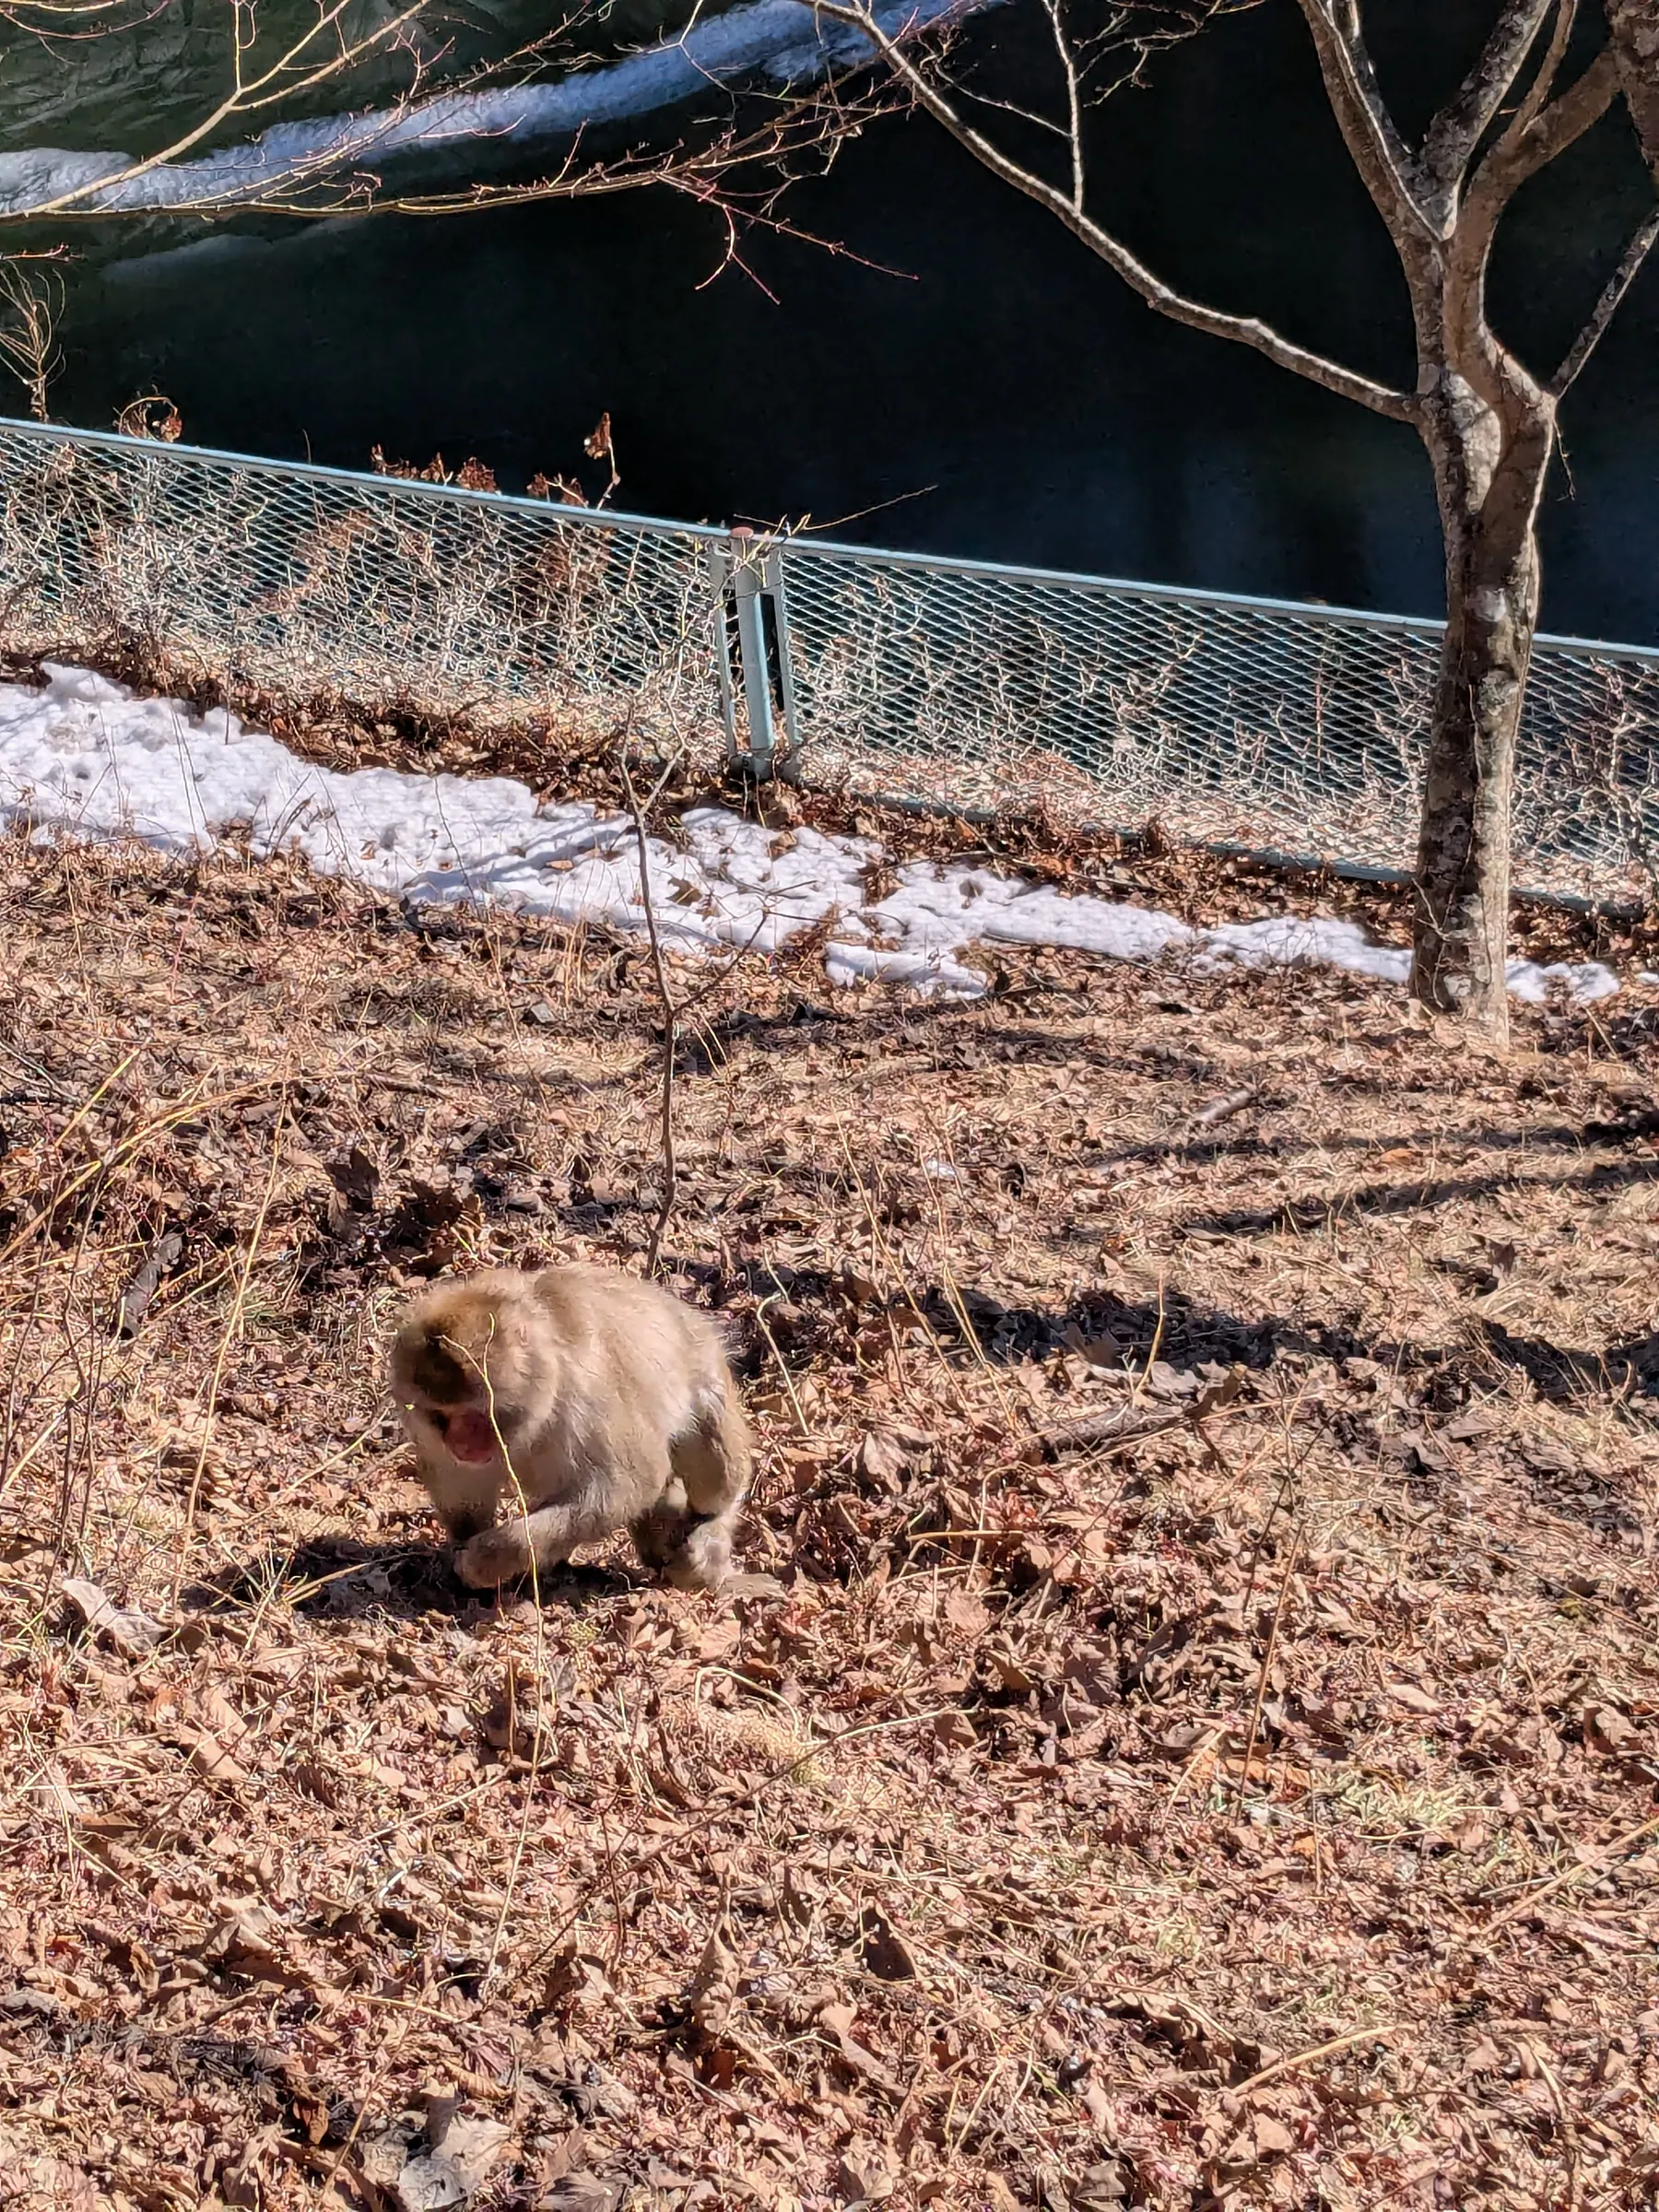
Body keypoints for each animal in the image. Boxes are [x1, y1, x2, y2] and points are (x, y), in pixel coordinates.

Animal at [386, 1263, 751, 1594]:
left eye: (476, 1413)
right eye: (441, 1415)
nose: (461, 1443)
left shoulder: (589, 1398)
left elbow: (629, 1484)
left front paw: (488, 1559)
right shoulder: (431, 1438)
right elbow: (461, 1489)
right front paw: (465, 1546)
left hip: (703, 1360)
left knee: (714, 1476)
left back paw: (710, 1530)